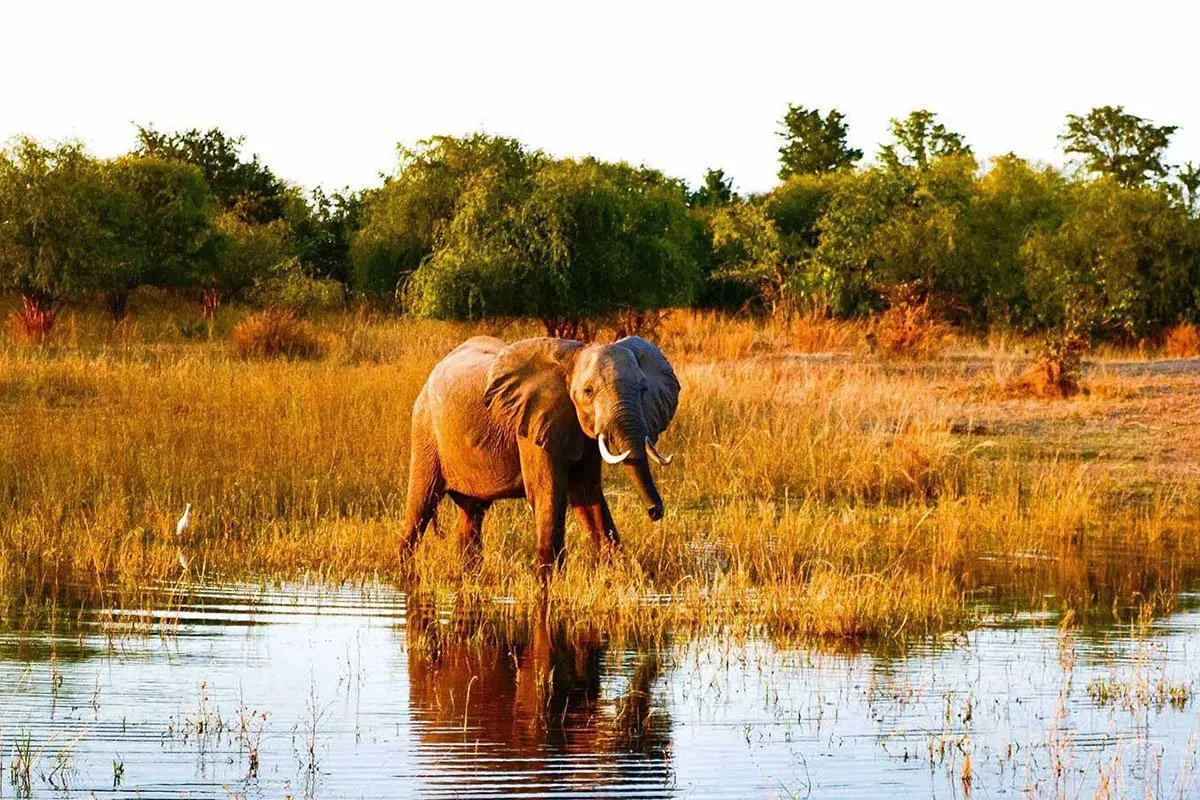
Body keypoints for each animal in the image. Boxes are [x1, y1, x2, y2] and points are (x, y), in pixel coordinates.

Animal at [400, 335, 680, 570]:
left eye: (644, 390)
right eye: (588, 391)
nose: (656, 511)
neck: (573, 355)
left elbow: (587, 496)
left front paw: (615, 573)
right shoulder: (532, 423)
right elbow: (548, 495)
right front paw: (549, 580)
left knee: (471, 515)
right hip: (425, 429)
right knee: (420, 507)